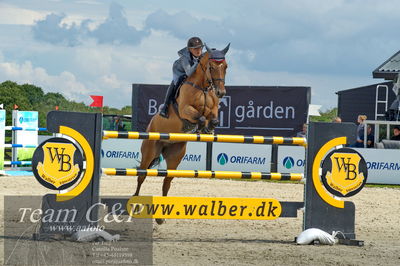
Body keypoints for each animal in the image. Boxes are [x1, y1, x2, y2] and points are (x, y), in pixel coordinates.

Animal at [134, 44, 230, 222]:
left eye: (225, 66)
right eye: (211, 67)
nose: (221, 93)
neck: (203, 87)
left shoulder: (213, 110)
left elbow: (213, 119)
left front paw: (207, 129)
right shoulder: (186, 110)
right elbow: (199, 117)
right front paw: (199, 127)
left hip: (175, 155)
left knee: (167, 182)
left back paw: (160, 217)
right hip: (150, 150)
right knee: (141, 176)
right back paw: (134, 204)